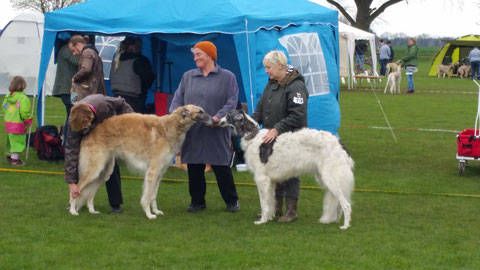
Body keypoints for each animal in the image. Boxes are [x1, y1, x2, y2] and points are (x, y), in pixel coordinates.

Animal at [69, 104, 214, 218]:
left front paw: (156, 211)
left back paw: (92, 211)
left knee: (89, 193)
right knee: (77, 187)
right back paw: (72, 210)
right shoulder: (152, 171)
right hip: (95, 168)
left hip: (104, 171)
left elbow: (154, 195)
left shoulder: (160, 172)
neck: (169, 127)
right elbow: (148, 196)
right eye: (200, 111)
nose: (214, 121)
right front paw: (149, 214)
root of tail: (88, 134)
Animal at [219, 109, 354, 230]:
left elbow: (263, 203)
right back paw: (334, 220)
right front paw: (269, 217)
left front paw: (262, 220)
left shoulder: (262, 179)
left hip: (331, 178)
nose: (218, 121)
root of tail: (339, 143)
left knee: (346, 205)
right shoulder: (270, 181)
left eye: (228, 114)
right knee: (338, 202)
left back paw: (345, 225)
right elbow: (271, 201)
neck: (253, 136)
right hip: (324, 178)